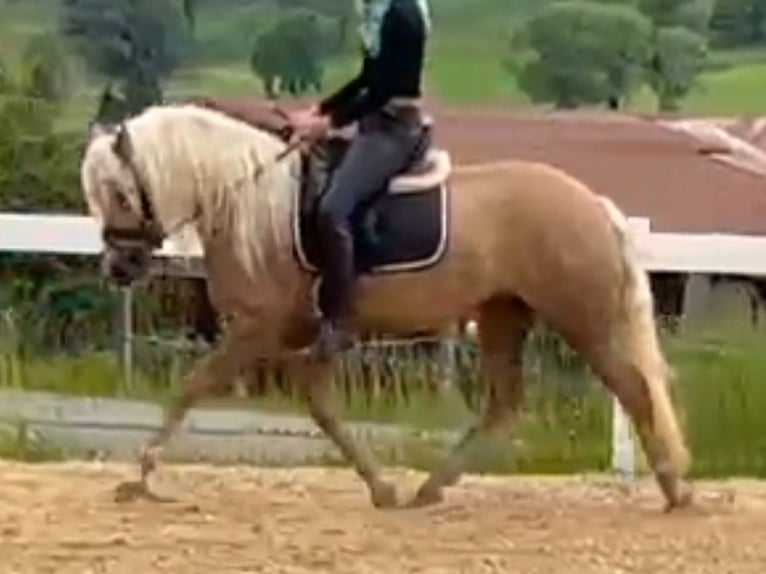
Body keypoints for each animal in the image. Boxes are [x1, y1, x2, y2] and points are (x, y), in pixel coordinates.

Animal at [79, 102, 696, 512]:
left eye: (120, 191)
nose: (119, 268)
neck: (252, 203)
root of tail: (592, 202)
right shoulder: (308, 338)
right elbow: (324, 411)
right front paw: (382, 487)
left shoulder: (259, 329)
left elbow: (191, 388)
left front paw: (140, 475)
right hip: (503, 315)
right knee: (505, 405)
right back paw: (429, 490)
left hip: (582, 317)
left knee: (634, 389)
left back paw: (675, 490)